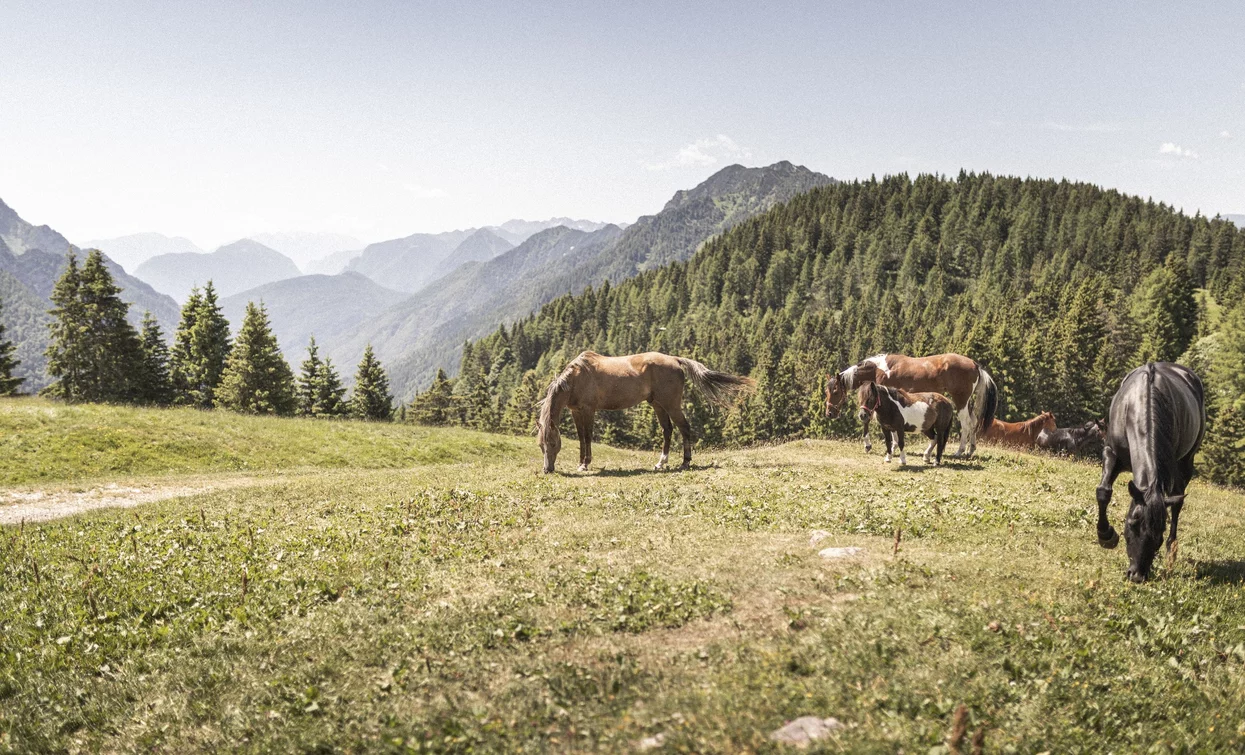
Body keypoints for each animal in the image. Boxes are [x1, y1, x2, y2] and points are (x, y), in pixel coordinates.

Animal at [532, 351, 751, 473]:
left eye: (553, 443)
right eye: (541, 445)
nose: (547, 470)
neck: (576, 379)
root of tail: (675, 360)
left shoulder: (588, 410)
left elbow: (587, 437)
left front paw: (585, 464)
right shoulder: (576, 411)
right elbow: (580, 438)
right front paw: (580, 464)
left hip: (671, 404)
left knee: (684, 427)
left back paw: (685, 462)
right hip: (658, 405)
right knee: (667, 430)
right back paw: (661, 463)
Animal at [826, 353, 1000, 458]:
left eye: (835, 391)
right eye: (827, 391)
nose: (829, 413)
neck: (879, 369)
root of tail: (975, 364)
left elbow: (870, 420)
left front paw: (880, 446)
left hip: (961, 400)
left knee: (966, 423)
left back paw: (960, 451)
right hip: (967, 402)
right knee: (974, 421)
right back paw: (971, 449)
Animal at [1100, 363, 1205, 583]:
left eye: (1159, 534)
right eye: (1132, 524)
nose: (1137, 575)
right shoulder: (1111, 453)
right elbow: (1103, 491)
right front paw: (1106, 535)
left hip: (1186, 463)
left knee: (1177, 501)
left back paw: (1172, 551)